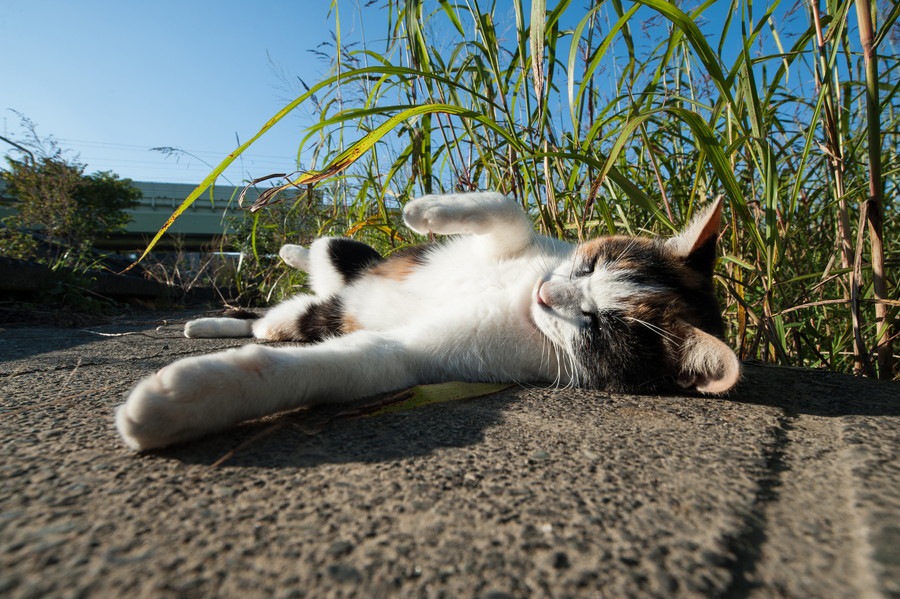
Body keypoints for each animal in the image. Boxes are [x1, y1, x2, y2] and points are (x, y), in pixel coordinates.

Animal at [116, 192, 740, 450]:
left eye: (597, 324)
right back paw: (284, 258)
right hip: (341, 270)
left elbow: (350, 366)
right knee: (321, 257)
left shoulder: (421, 357)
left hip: (320, 316)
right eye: (588, 264)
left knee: (279, 323)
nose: (547, 292)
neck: (519, 302)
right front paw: (424, 209)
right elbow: (512, 210)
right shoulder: (528, 249)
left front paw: (184, 402)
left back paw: (218, 329)